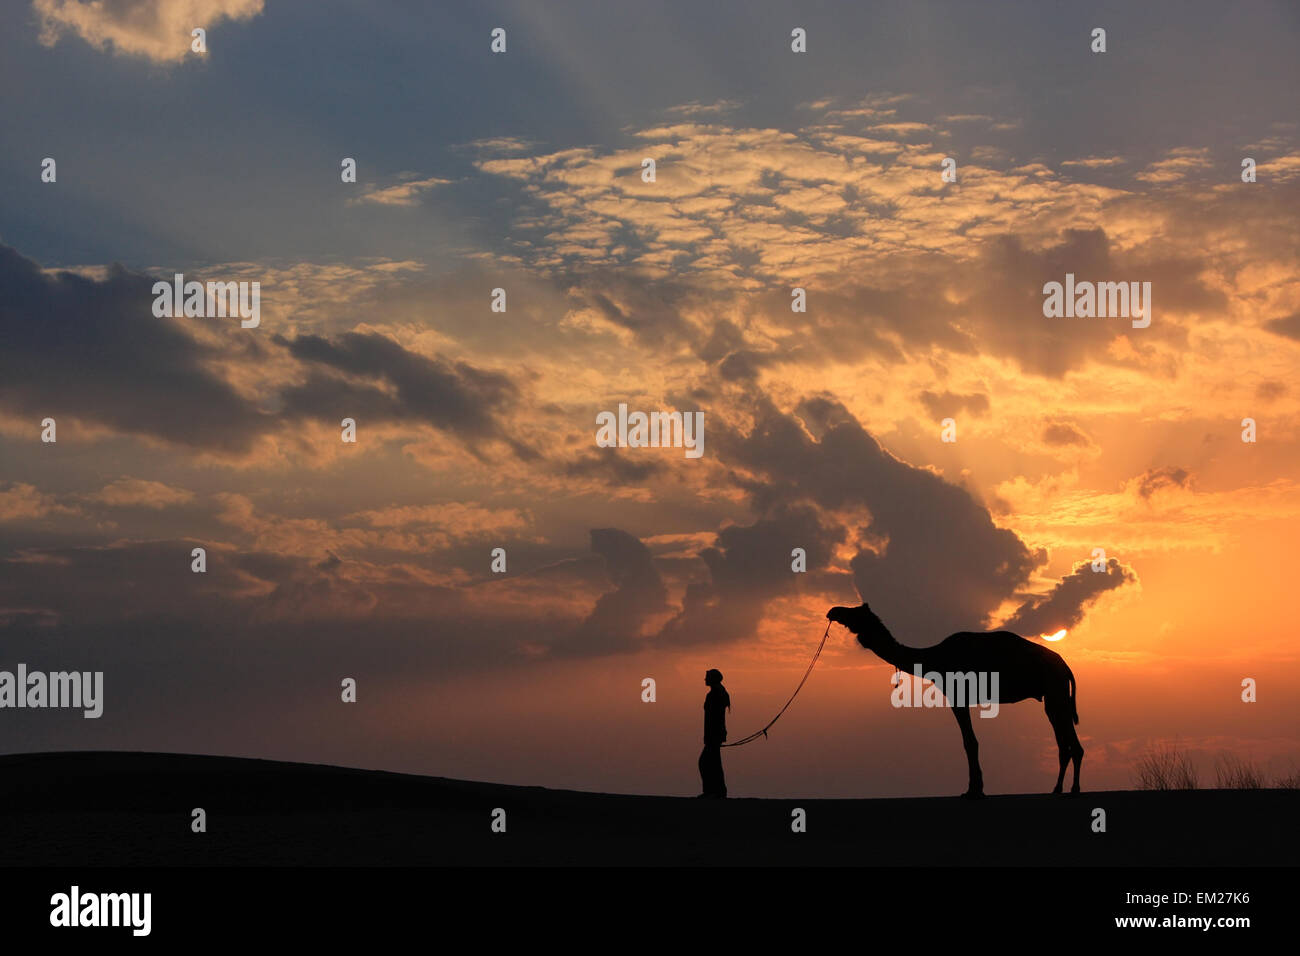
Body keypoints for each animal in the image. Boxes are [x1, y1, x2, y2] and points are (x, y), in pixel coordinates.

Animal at [826, 600, 1081, 796]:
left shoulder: (957, 695)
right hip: (1053, 695)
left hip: (1055, 690)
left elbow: (969, 742)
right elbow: (970, 741)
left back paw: (1074, 789)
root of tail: (1066, 666)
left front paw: (973, 790)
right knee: (1063, 742)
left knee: (1070, 742)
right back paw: (1058, 789)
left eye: (853, 613)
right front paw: (975, 788)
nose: (832, 611)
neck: (933, 658)